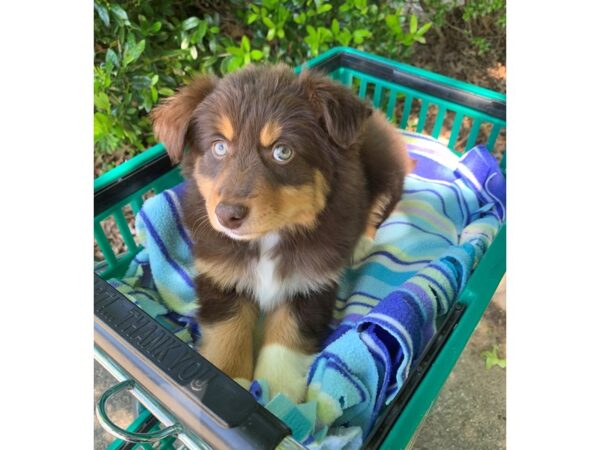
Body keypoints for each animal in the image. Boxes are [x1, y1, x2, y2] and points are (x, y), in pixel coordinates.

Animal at [151, 64, 412, 400]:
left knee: (378, 206)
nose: (227, 216)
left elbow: (285, 344)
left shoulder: (310, 284)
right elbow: (226, 334)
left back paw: (361, 244)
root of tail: (379, 118)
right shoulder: (220, 276)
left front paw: (276, 395)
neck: (268, 238)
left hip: (385, 171)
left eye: (282, 152)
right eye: (219, 147)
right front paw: (231, 382)